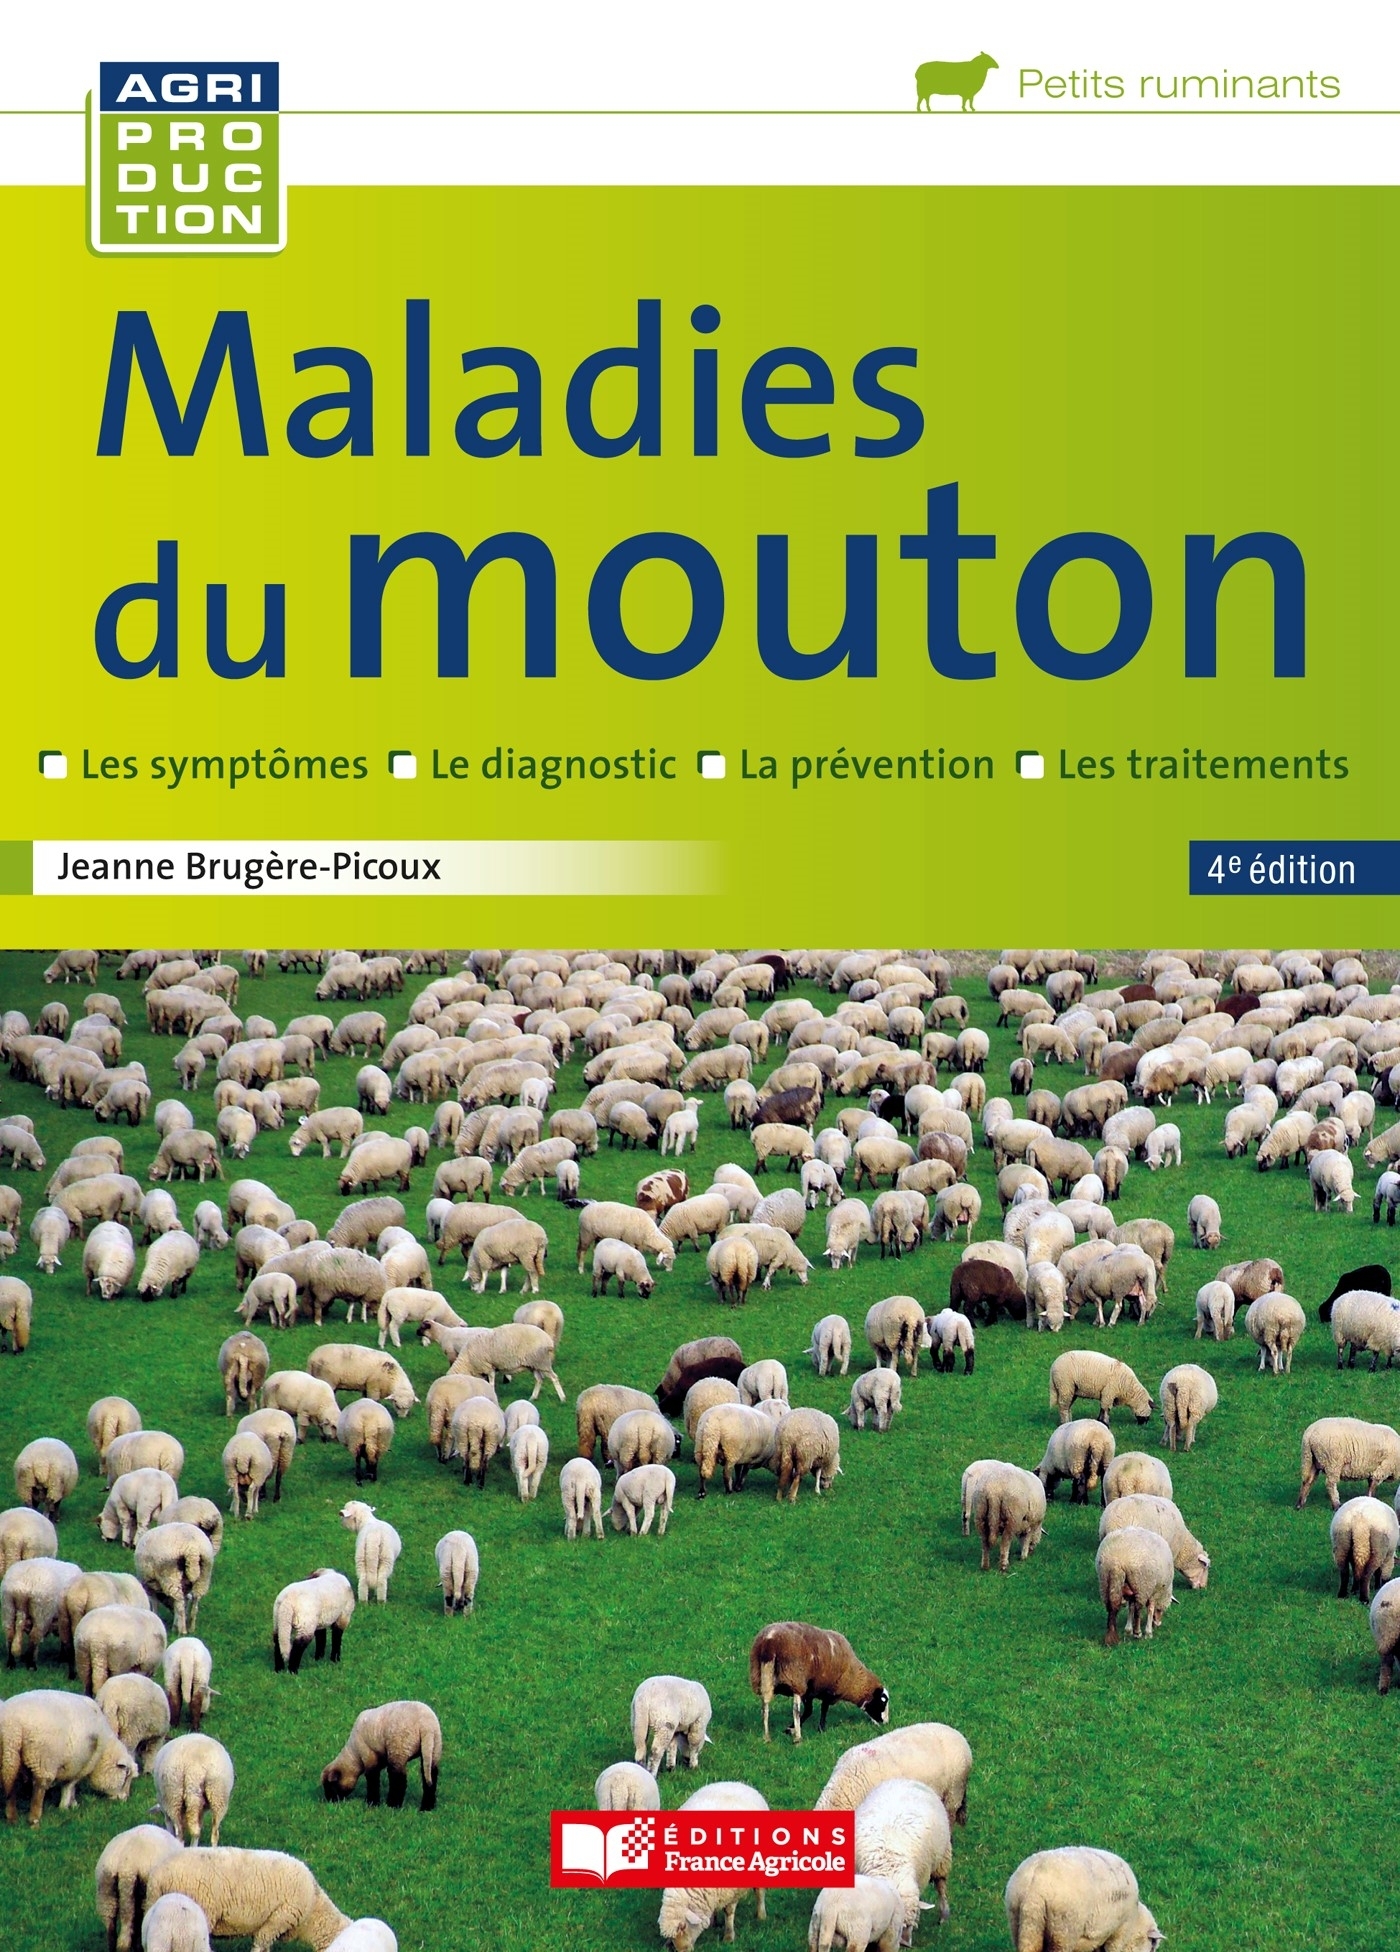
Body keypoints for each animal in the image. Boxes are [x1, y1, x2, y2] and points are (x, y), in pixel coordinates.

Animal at [1003, 1847, 1160, 1952]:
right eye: (1152, 1945)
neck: (1136, 1919)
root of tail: (1034, 1890)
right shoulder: (1119, 1933)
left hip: (1021, 1922)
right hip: (1063, 1931)